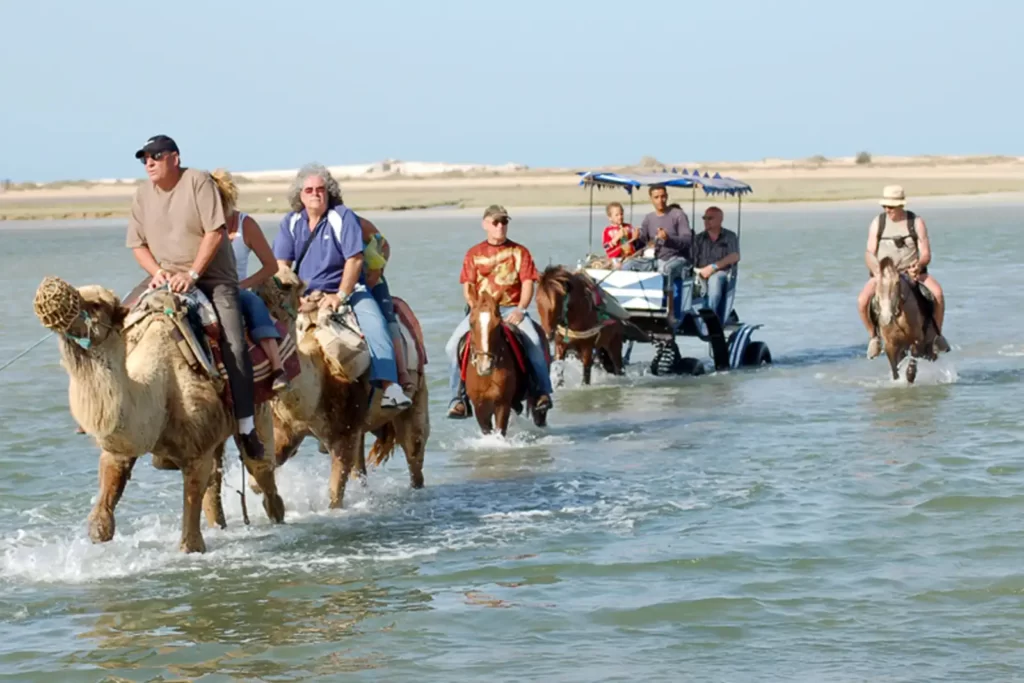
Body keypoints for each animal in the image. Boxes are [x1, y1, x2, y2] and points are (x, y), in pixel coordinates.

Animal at [32, 274, 284, 552]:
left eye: (97, 304)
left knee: (261, 470)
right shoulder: (122, 444)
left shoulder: (197, 450)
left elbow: (191, 537)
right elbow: (101, 523)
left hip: (258, 409)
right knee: (217, 481)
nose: (48, 291)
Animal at [239, 270, 428, 509]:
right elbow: (264, 470)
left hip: (415, 397)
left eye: (288, 285)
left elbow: (335, 495)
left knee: (414, 453)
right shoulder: (285, 429)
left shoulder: (343, 433)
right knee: (361, 468)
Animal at [462, 288, 544, 438]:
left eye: (497, 324)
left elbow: (500, 429)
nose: (485, 366)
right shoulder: (479, 405)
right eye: (471, 323)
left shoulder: (502, 403)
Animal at [872, 255, 937, 385]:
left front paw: (910, 376)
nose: (886, 318)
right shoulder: (890, 344)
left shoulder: (917, 339)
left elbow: (913, 358)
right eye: (877, 283)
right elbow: (895, 369)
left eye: (897, 282)